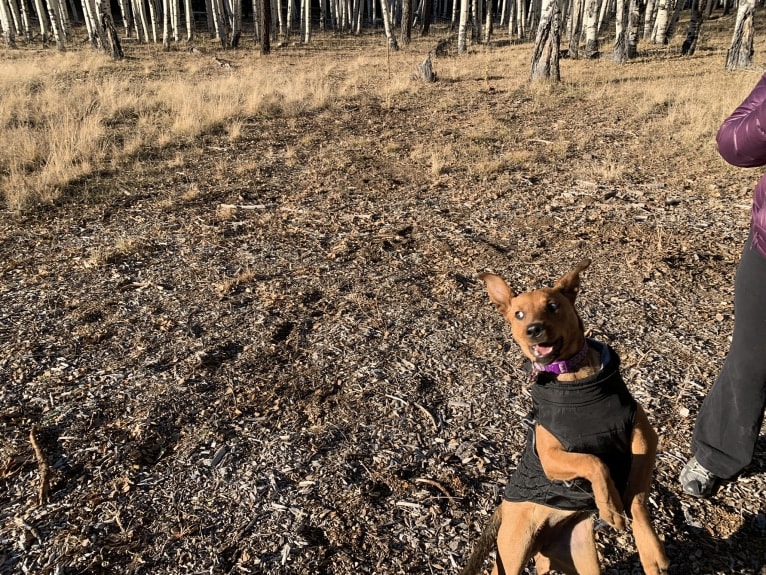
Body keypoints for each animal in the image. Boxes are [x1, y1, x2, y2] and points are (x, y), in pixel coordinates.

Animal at [462, 260, 672, 575]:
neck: (574, 380)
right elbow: (594, 461)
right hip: (513, 550)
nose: (533, 329)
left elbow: (635, 495)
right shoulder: (551, 457)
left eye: (553, 306)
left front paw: (650, 550)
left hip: (580, 557)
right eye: (518, 314)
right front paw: (609, 506)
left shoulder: (643, 435)